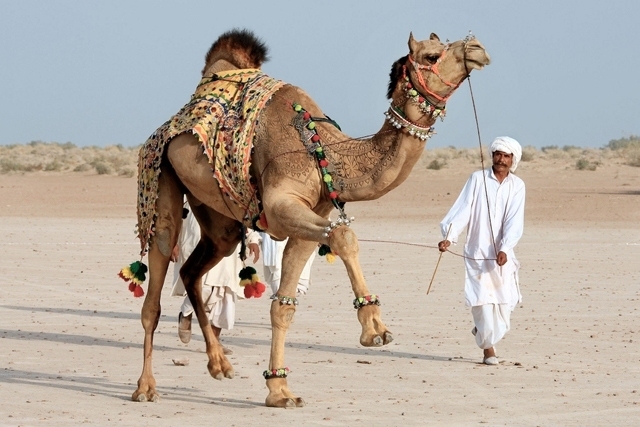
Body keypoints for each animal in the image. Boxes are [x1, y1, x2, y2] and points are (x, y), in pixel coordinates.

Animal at [121, 27, 490, 408]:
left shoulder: (308, 219)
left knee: (194, 270)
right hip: (160, 176)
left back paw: (219, 364)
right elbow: (344, 236)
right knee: (156, 283)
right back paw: (145, 387)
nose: (476, 47)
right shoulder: (282, 207)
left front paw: (279, 391)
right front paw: (374, 328)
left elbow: (283, 305)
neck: (326, 150)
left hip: (216, 217)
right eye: (432, 55)